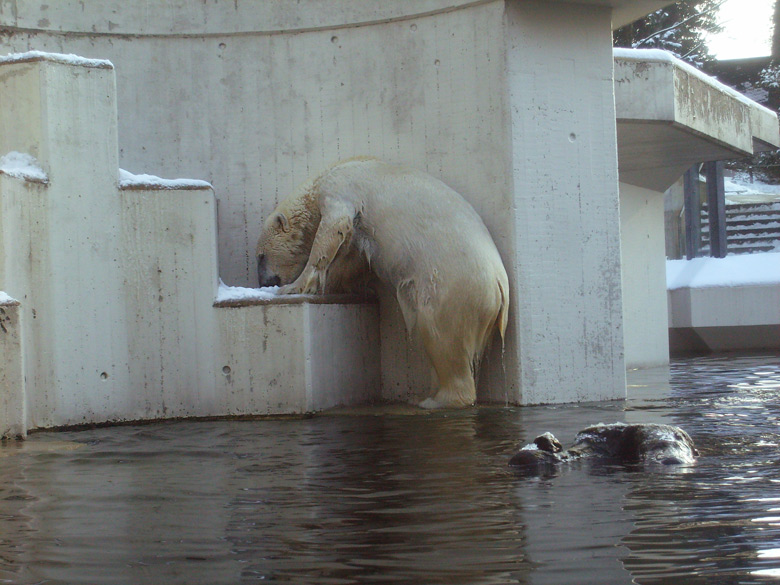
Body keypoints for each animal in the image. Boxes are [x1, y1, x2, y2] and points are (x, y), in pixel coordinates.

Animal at [258, 157, 512, 408]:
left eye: (260, 256)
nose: (262, 282)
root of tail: (500, 288)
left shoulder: (341, 189)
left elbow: (332, 231)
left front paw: (293, 286)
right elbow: (354, 256)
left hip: (453, 291)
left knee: (441, 336)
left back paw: (434, 401)